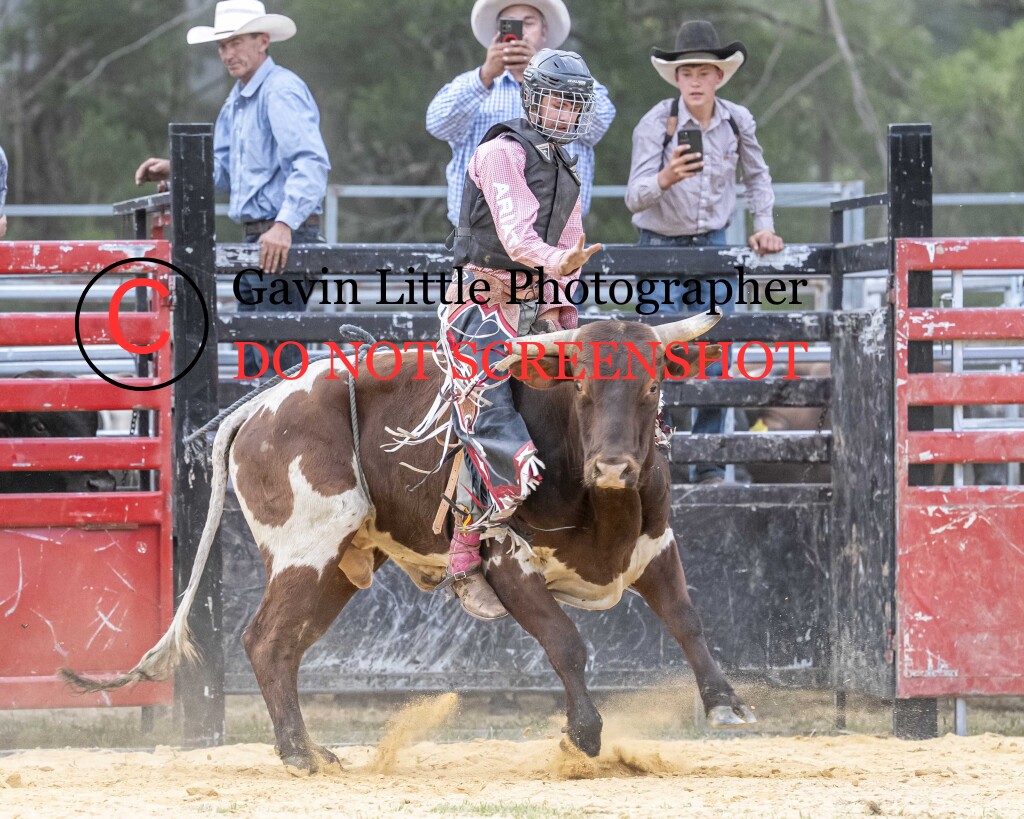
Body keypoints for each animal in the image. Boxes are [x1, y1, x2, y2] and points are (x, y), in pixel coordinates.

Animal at [61, 315, 755, 775]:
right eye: (581, 387)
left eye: (652, 388)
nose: (612, 466)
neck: (602, 503)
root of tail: (259, 408)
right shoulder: (506, 562)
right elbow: (566, 644)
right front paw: (583, 736)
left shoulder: (656, 546)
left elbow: (688, 621)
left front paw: (726, 704)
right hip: (304, 553)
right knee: (265, 640)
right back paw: (298, 755)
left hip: (337, 568)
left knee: (284, 646)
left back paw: (309, 749)